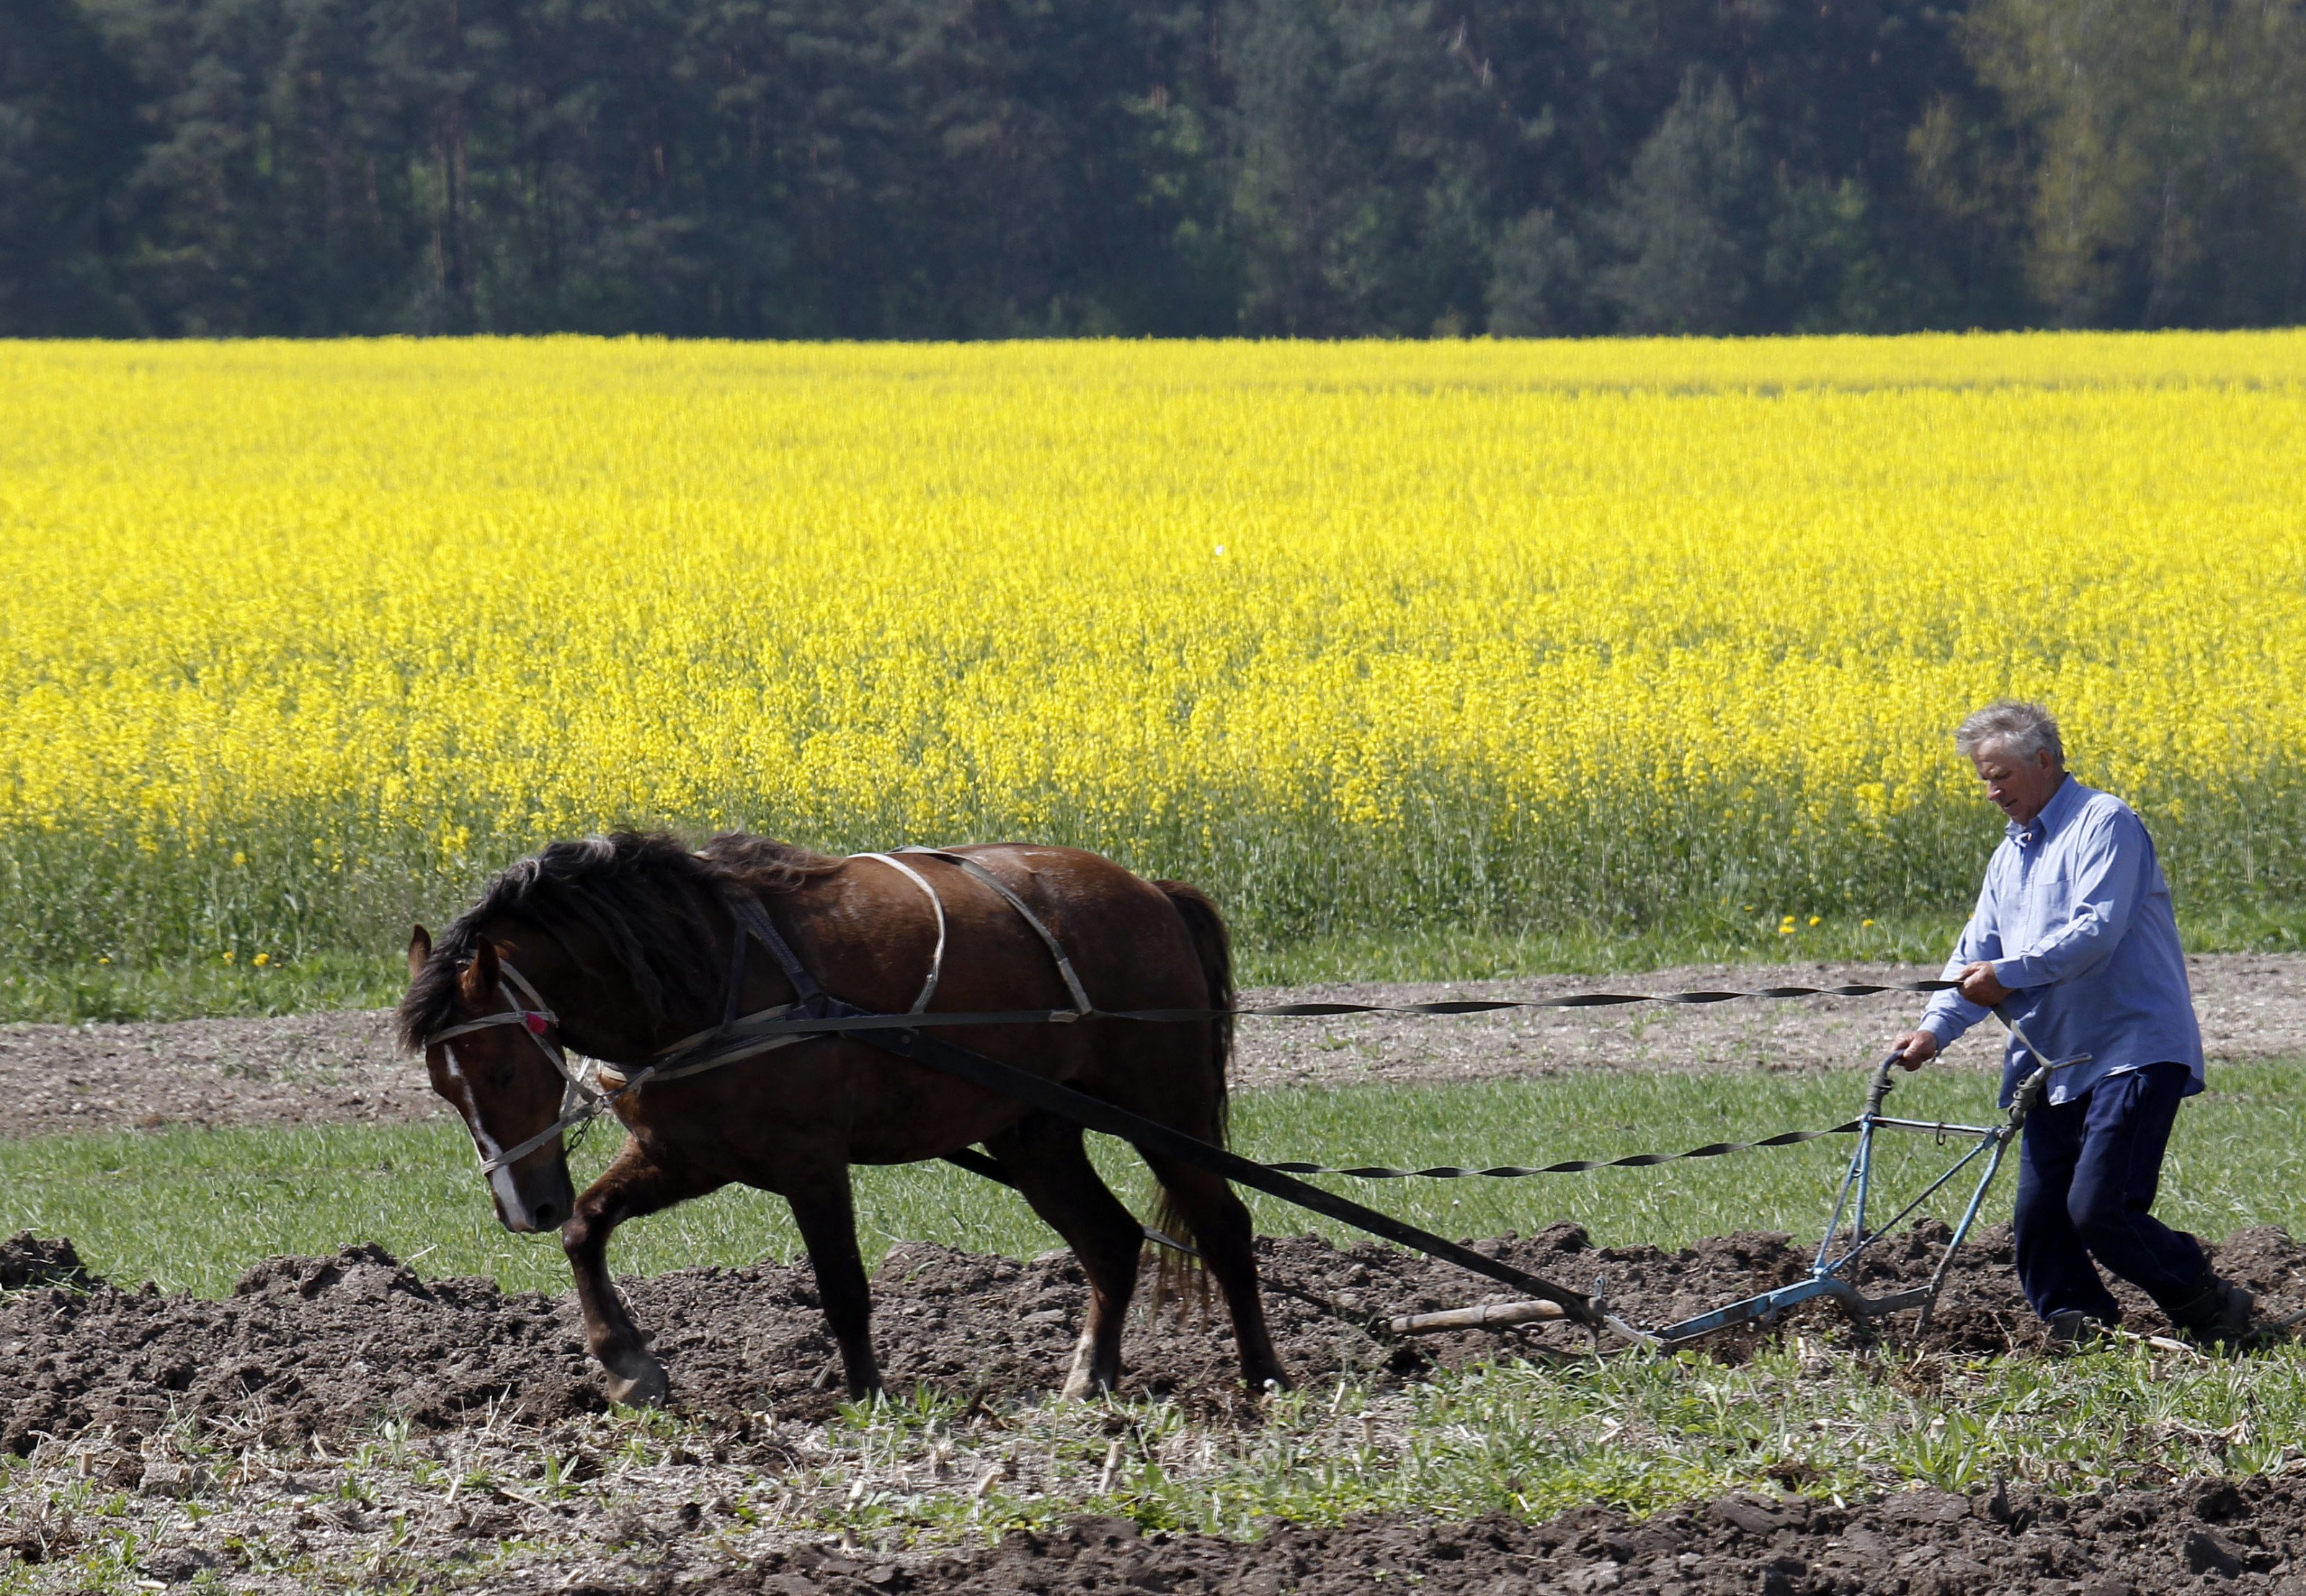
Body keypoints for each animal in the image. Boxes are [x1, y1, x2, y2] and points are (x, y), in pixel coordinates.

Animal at [401, 830, 1300, 1402]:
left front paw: (866, 1395)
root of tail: (1153, 890)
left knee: (1224, 1225)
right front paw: (628, 1367)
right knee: (1111, 1240)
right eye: (443, 1086)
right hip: (1033, 1135)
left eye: (503, 1066)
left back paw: (1263, 1376)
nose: (523, 1206)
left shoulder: (810, 1160)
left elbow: (841, 1282)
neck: (701, 974)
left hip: (1163, 1107)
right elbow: (587, 1228)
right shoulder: (684, 1153)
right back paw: (1089, 1378)